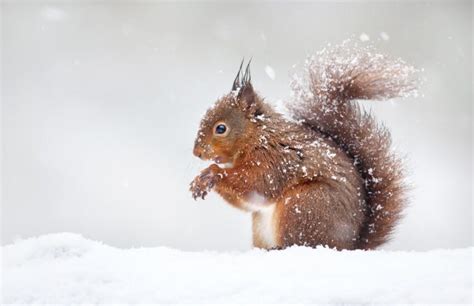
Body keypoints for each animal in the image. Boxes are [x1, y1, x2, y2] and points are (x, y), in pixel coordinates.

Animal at [189, 42, 418, 249]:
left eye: (221, 128)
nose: (196, 152)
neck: (258, 136)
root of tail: (349, 245)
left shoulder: (275, 160)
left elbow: (256, 185)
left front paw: (211, 173)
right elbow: (247, 201)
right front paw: (200, 181)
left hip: (304, 205)